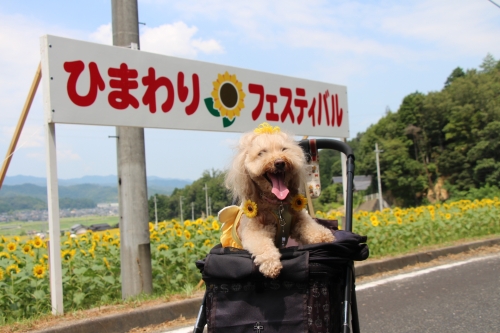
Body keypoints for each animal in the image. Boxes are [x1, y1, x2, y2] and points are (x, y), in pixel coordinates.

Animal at [224, 122, 334, 278]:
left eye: (284, 149)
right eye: (261, 153)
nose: (280, 162)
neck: (277, 204)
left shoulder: (298, 219)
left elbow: (311, 227)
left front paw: (324, 237)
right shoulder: (254, 231)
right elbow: (262, 245)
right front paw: (271, 265)